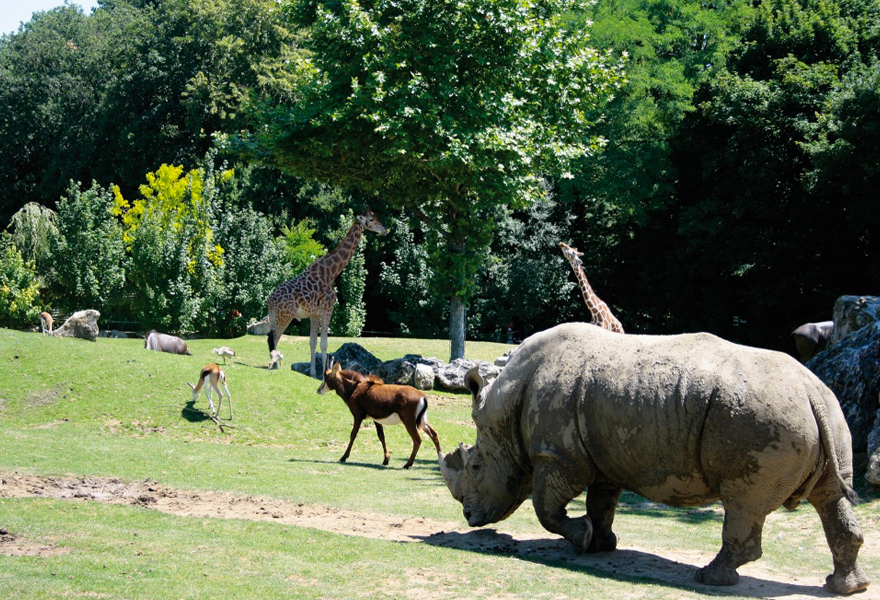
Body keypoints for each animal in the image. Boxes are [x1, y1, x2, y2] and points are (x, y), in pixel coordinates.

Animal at [266, 209, 386, 378]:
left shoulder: (314, 314)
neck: (331, 272)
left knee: (271, 336)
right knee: (275, 336)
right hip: (285, 316)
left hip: (275, 316)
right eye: (371, 219)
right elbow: (324, 343)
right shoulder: (328, 310)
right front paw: (324, 373)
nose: (384, 230)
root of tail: (270, 300)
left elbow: (313, 342)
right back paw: (275, 366)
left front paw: (313, 373)